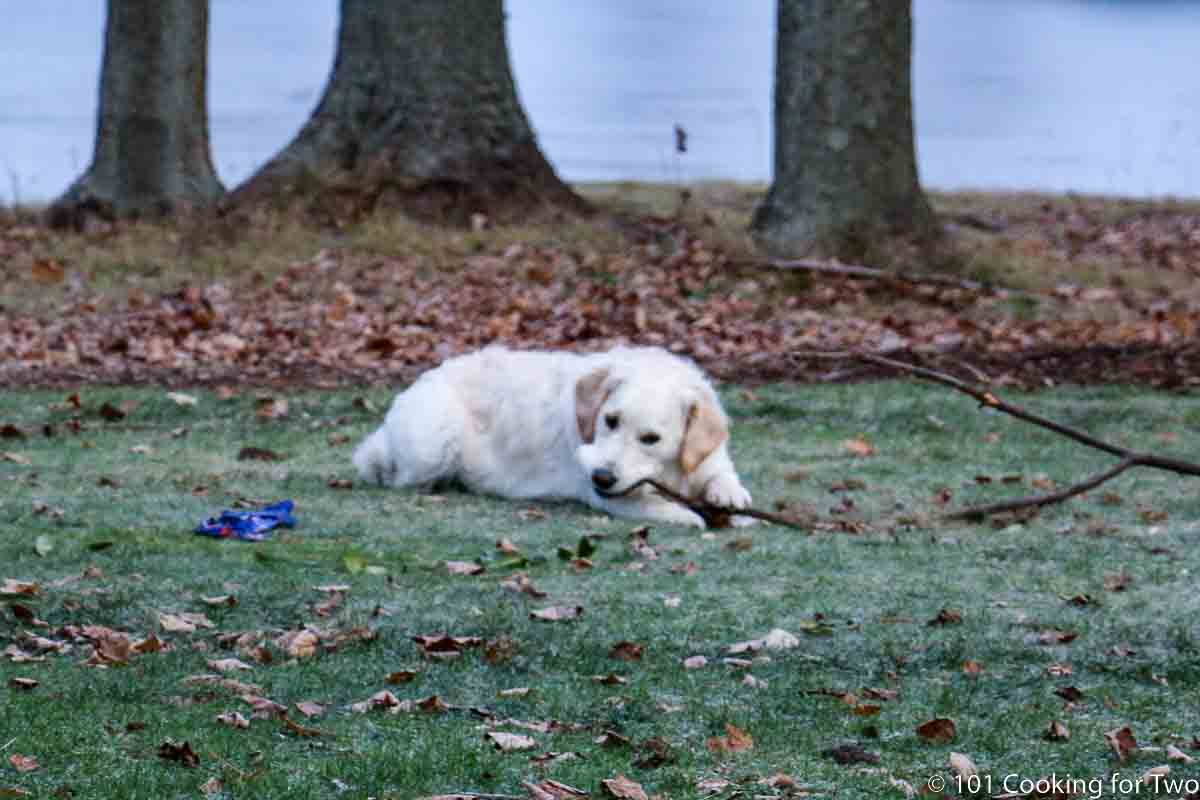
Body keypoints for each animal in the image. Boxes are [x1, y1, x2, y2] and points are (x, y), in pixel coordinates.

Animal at [350, 343, 753, 525]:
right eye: (610, 420)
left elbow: (723, 475)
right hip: (434, 441)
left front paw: (730, 496)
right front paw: (694, 515)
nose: (601, 477)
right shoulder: (610, 499)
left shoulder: (708, 457)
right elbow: (673, 513)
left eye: (651, 438)